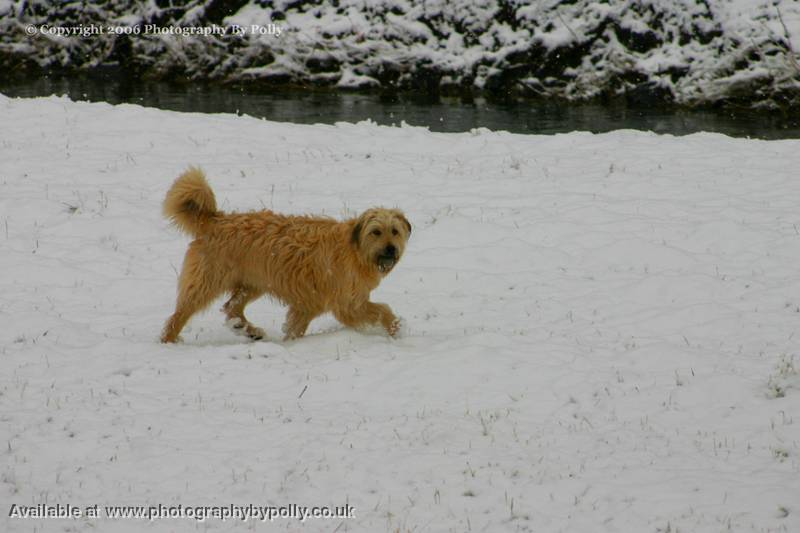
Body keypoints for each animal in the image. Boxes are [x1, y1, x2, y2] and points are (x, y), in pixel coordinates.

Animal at [161, 166, 412, 342]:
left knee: (232, 307)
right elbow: (382, 310)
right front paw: (396, 328)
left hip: (254, 282)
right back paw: (169, 340)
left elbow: (295, 328)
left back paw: (247, 329)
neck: (355, 249)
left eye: (395, 231)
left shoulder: (307, 304)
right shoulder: (347, 304)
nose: (391, 249)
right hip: (207, 280)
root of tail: (215, 219)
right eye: (376, 232)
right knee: (181, 313)